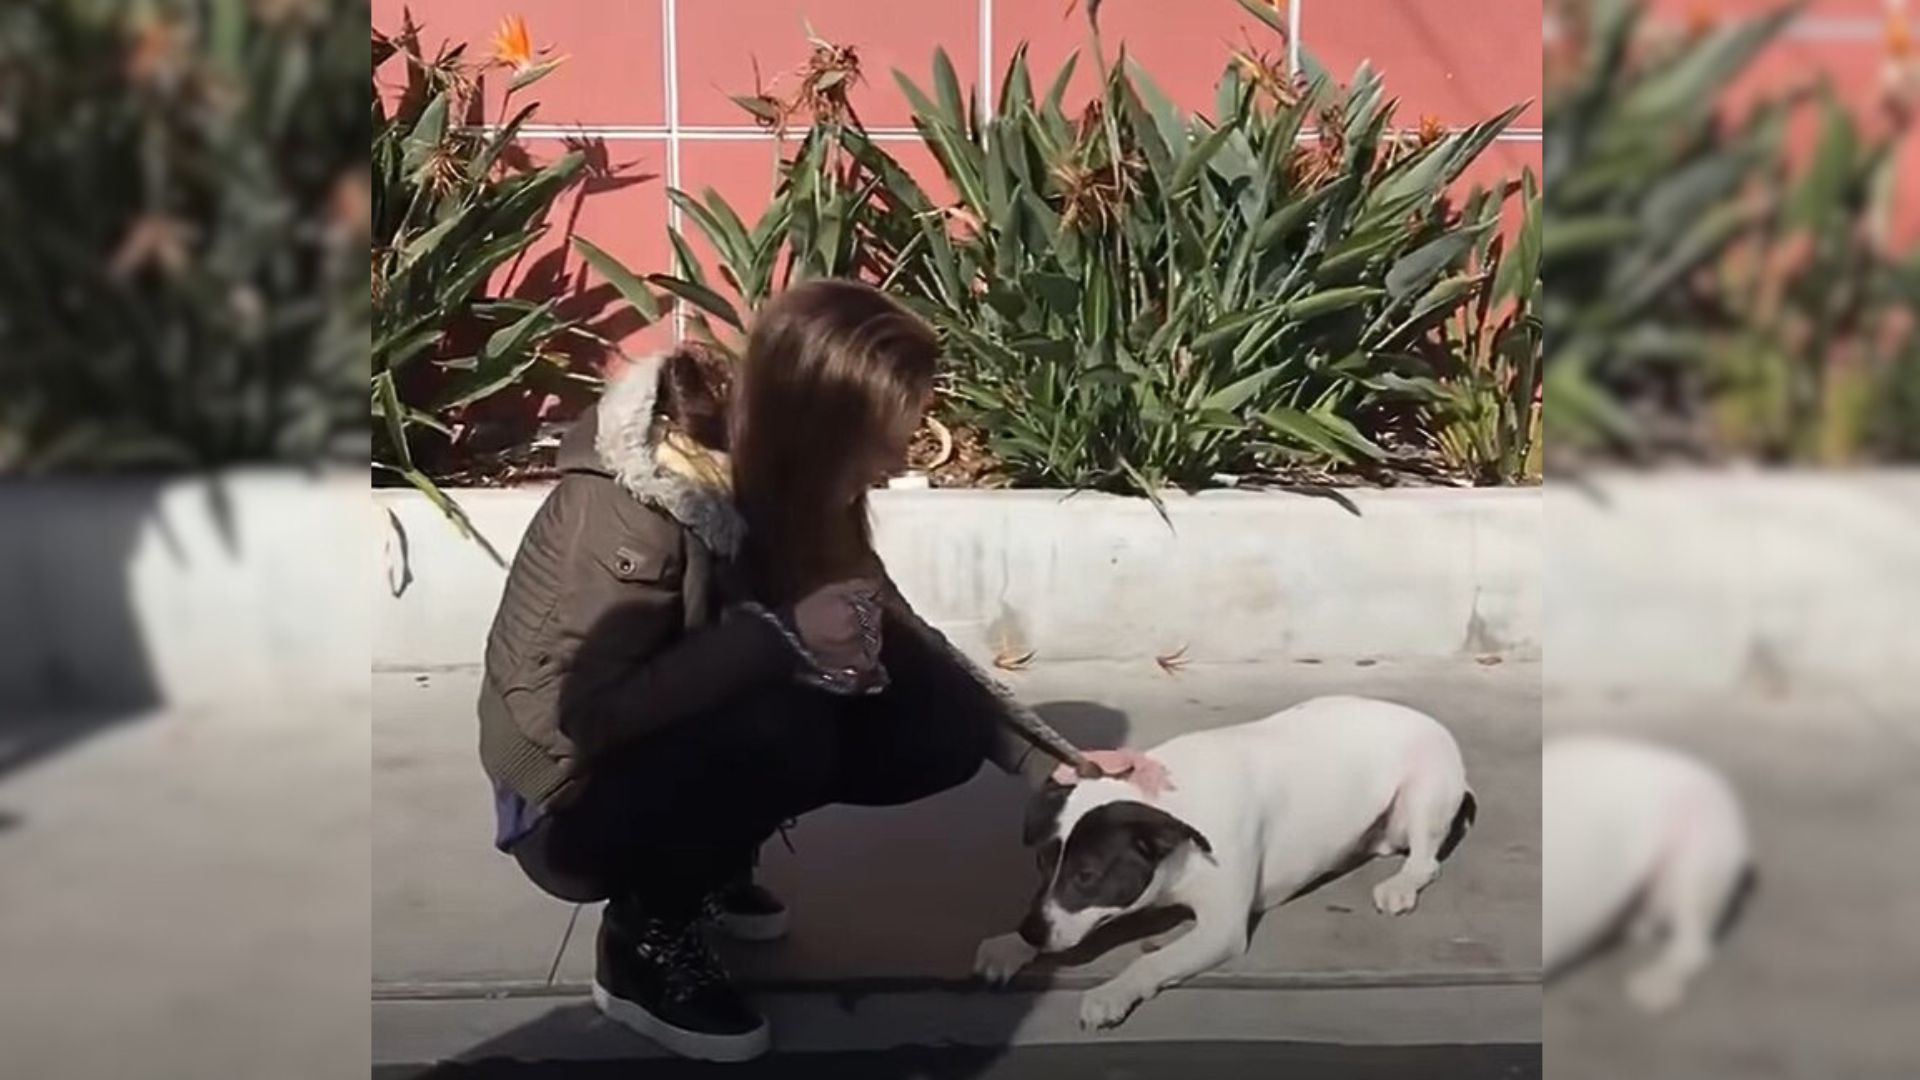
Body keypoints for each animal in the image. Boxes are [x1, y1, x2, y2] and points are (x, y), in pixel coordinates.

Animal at [975, 691, 1466, 1030]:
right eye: (1041, 865)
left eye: (1087, 875)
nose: (1029, 931)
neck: (1174, 807)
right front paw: (1010, 944)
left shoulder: (1220, 929)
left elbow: (1151, 961)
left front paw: (1111, 992)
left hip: (1423, 795)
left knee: (1425, 859)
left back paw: (1400, 884)